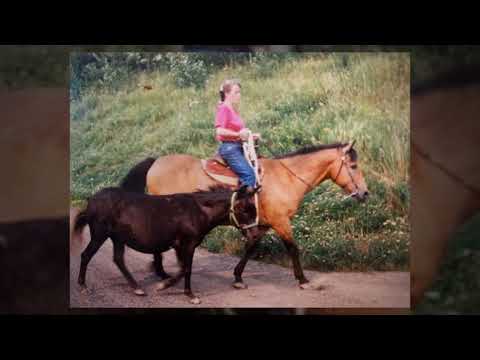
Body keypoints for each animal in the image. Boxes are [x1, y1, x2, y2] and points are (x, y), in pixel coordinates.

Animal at [122, 141, 370, 290]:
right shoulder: (281, 222)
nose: (365, 193)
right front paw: (302, 279)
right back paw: (163, 273)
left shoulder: (264, 224)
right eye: (354, 166)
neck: (286, 178)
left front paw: (238, 277)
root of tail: (155, 161)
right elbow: (293, 248)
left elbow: (251, 247)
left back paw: (163, 272)